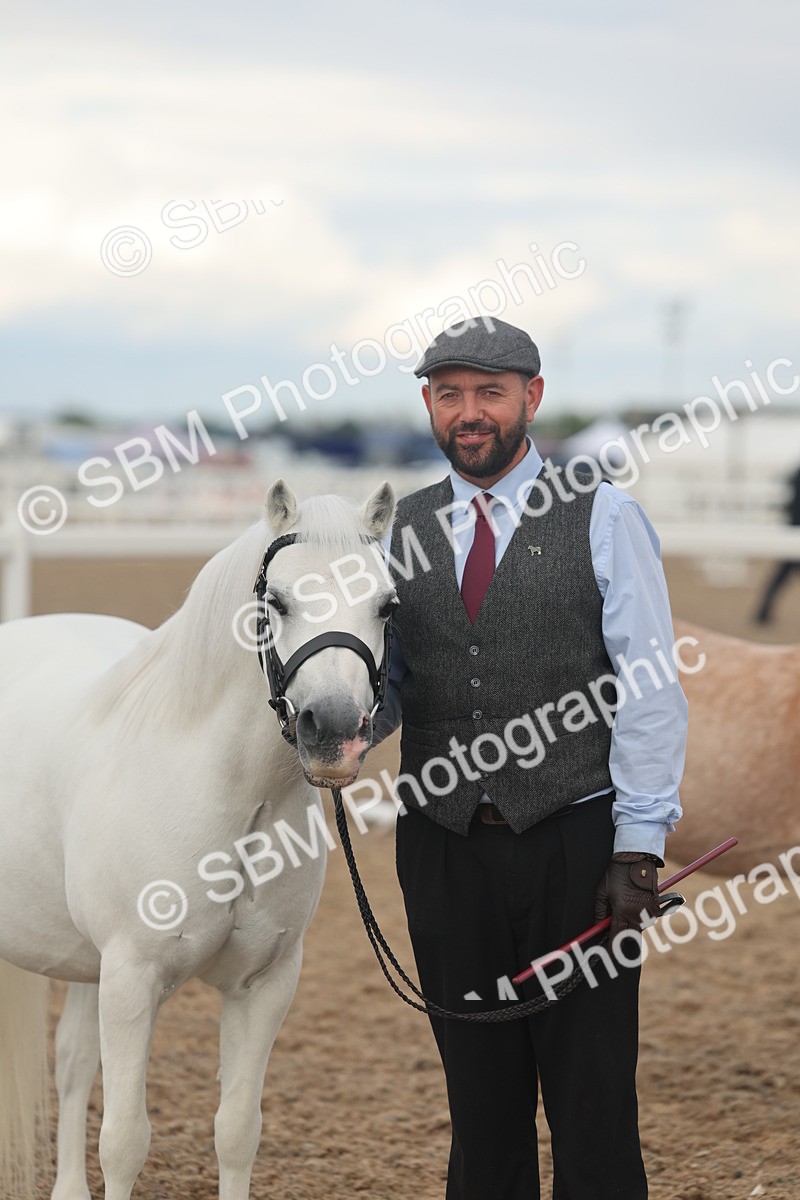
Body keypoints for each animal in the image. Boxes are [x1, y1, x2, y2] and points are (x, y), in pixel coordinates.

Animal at [0, 477, 397, 1200]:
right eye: (276, 600)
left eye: (386, 604)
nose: (332, 730)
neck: (231, 797)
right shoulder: (132, 981)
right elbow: (125, 1142)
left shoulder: (263, 985)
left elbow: (237, 1130)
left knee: (71, 1063)